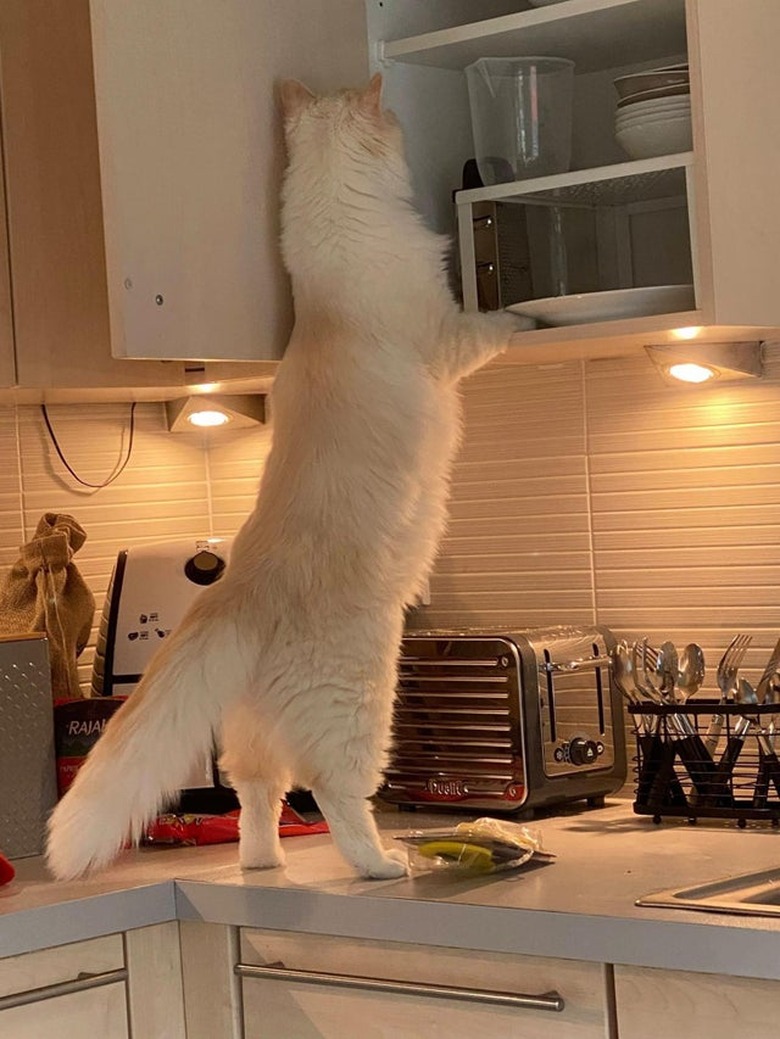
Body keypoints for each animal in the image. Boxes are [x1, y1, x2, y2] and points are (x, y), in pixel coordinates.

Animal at [45, 75, 515, 885]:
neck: (333, 274)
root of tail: (238, 585)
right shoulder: (449, 336)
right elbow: (496, 324)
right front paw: (528, 313)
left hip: (250, 737)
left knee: (256, 795)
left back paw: (264, 867)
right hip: (361, 706)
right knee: (334, 793)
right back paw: (384, 864)